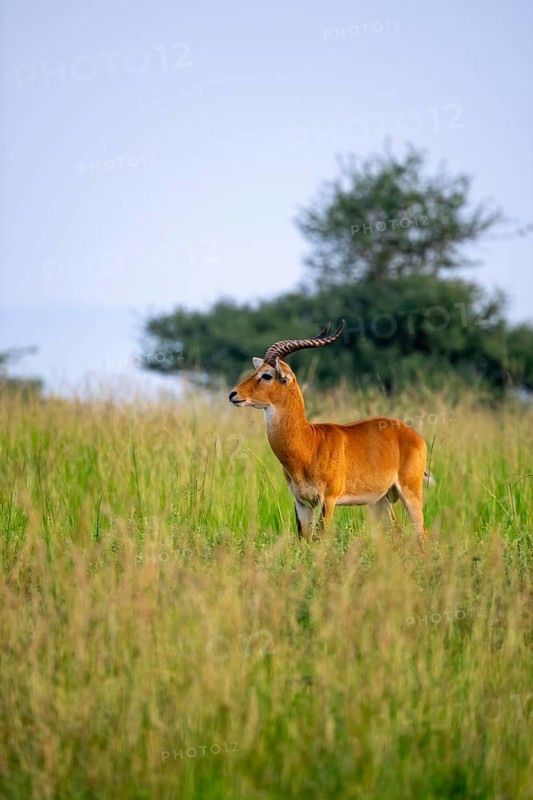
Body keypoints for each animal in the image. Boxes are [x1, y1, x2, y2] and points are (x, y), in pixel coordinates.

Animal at [228, 321, 432, 544]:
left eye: (267, 375)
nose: (233, 394)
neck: (310, 443)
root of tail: (412, 433)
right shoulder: (301, 501)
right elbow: (304, 539)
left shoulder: (329, 499)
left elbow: (320, 538)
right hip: (380, 499)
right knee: (397, 532)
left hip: (410, 491)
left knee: (422, 533)